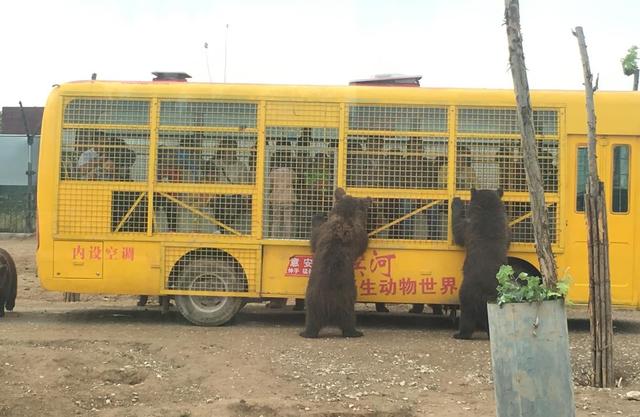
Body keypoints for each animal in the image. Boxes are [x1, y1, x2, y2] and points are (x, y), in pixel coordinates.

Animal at [450, 188, 510, 338]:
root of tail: (485, 295)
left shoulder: (469, 226)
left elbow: (458, 231)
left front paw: (456, 201)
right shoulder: (503, 227)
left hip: (468, 292)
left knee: (467, 314)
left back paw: (460, 334)